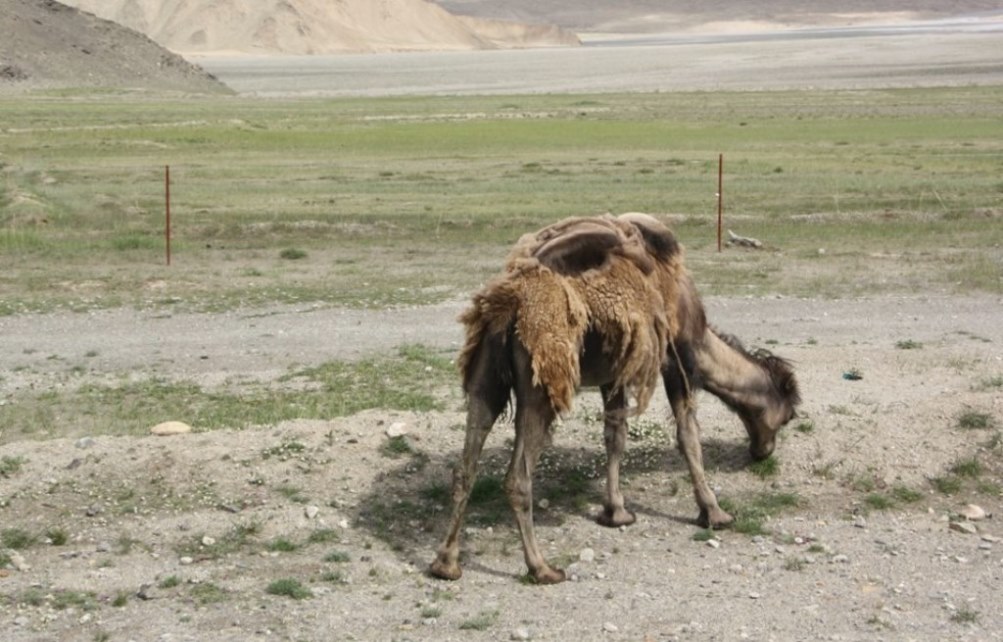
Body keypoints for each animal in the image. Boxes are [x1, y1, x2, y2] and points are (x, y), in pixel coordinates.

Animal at [431, 212, 798, 585]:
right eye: (788, 416)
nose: (762, 452)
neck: (701, 340)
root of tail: (505, 305)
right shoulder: (675, 359)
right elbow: (688, 436)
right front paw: (714, 512)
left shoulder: (616, 370)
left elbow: (615, 437)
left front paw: (616, 511)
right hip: (542, 384)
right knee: (517, 478)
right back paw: (541, 568)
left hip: (486, 376)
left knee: (465, 466)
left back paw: (445, 563)